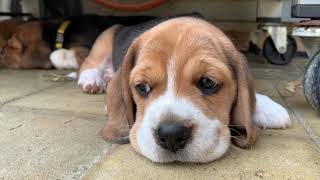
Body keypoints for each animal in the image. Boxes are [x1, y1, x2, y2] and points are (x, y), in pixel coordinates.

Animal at [79, 14, 292, 162]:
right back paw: (92, 80)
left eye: (208, 82)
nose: (171, 135)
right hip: (105, 38)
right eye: (142, 87)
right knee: (88, 63)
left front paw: (268, 108)